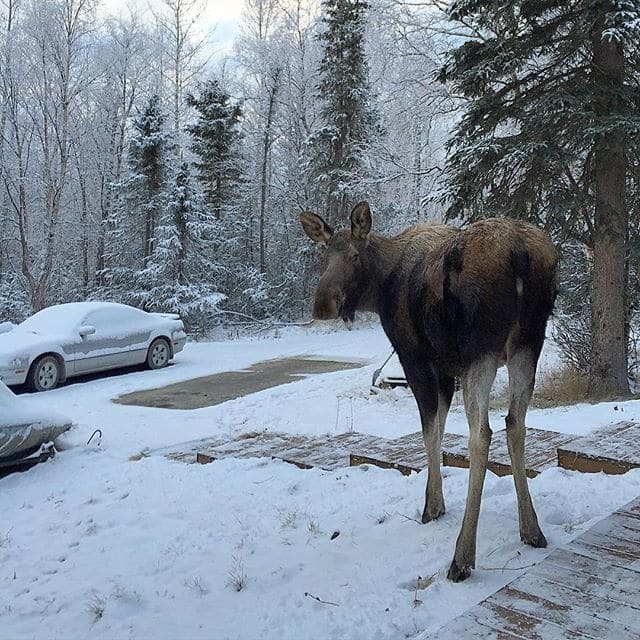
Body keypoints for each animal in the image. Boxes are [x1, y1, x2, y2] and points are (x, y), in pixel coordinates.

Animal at [300, 202, 556, 584]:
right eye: (324, 256)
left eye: (355, 256)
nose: (323, 305)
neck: (381, 290)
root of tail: (520, 254)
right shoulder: (447, 369)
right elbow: (440, 427)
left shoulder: (417, 359)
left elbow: (429, 430)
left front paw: (432, 506)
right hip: (528, 342)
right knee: (515, 423)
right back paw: (532, 529)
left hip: (481, 350)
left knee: (482, 433)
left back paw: (462, 556)